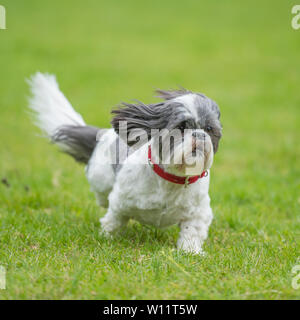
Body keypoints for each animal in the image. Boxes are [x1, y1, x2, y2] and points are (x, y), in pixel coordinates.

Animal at [28, 72, 221, 255]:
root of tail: (104, 135)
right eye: (181, 127)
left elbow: (192, 231)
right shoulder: (120, 201)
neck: (172, 179)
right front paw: (107, 236)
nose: (200, 135)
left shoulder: (199, 212)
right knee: (102, 197)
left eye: (209, 129)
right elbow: (114, 219)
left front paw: (191, 251)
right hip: (100, 179)